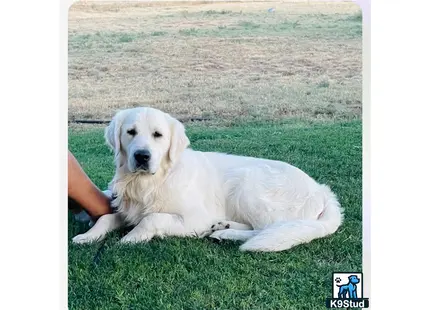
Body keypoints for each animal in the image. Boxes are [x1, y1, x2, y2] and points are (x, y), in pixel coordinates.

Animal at [73, 107, 342, 252]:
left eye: (158, 135)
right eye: (131, 132)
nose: (142, 156)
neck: (149, 182)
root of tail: (322, 191)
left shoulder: (195, 218)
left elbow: (153, 218)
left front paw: (132, 238)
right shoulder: (127, 207)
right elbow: (107, 217)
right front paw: (88, 236)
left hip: (248, 183)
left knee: (267, 229)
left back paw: (226, 234)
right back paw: (223, 227)